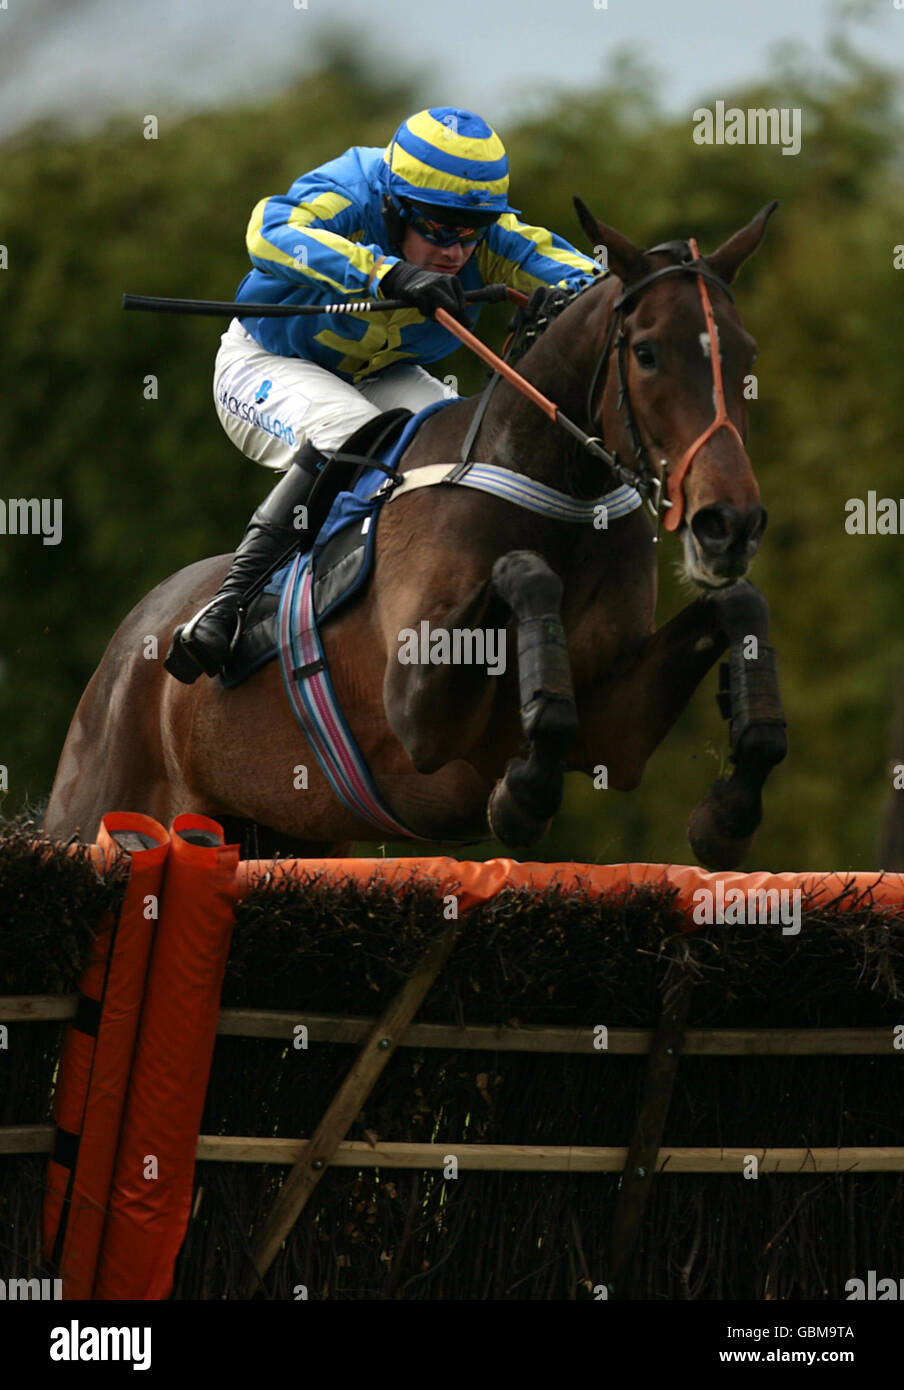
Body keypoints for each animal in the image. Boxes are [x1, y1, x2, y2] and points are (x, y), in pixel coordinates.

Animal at [45, 200, 784, 861]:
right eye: (649, 353)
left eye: (747, 354)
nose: (729, 523)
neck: (557, 489)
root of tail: (129, 641)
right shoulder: (419, 717)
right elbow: (525, 575)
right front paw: (523, 793)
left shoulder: (613, 734)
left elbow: (738, 604)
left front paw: (730, 808)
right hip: (96, 809)